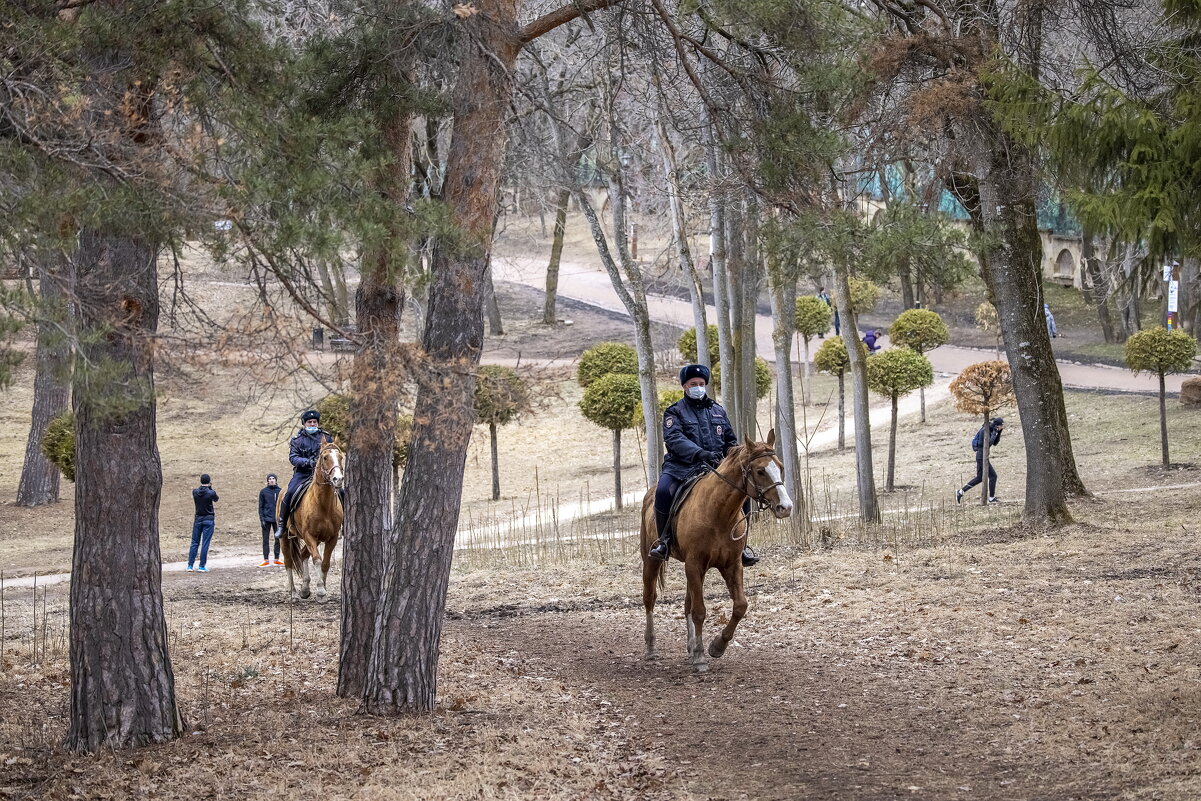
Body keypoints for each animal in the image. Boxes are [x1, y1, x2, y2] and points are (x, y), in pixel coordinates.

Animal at [275, 444, 343, 600]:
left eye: (340, 457)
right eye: (325, 457)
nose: (338, 479)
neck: (323, 504)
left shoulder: (332, 538)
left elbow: (325, 563)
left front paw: (323, 589)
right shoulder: (309, 535)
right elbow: (317, 559)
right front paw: (321, 590)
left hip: (316, 540)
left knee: (303, 554)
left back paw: (305, 588)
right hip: (285, 538)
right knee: (288, 562)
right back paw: (294, 593)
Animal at [643, 432, 792, 672]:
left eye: (780, 467)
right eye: (760, 471)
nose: (785, 508)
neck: (718, 512)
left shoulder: (731, 564)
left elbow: (740, 606)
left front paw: (716, 646)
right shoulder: (695, 564)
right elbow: (700, 611)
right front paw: (701, 657)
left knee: (687, 604)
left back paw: (691, 647)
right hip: (651, 561)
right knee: (650, 598)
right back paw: (651, 648)